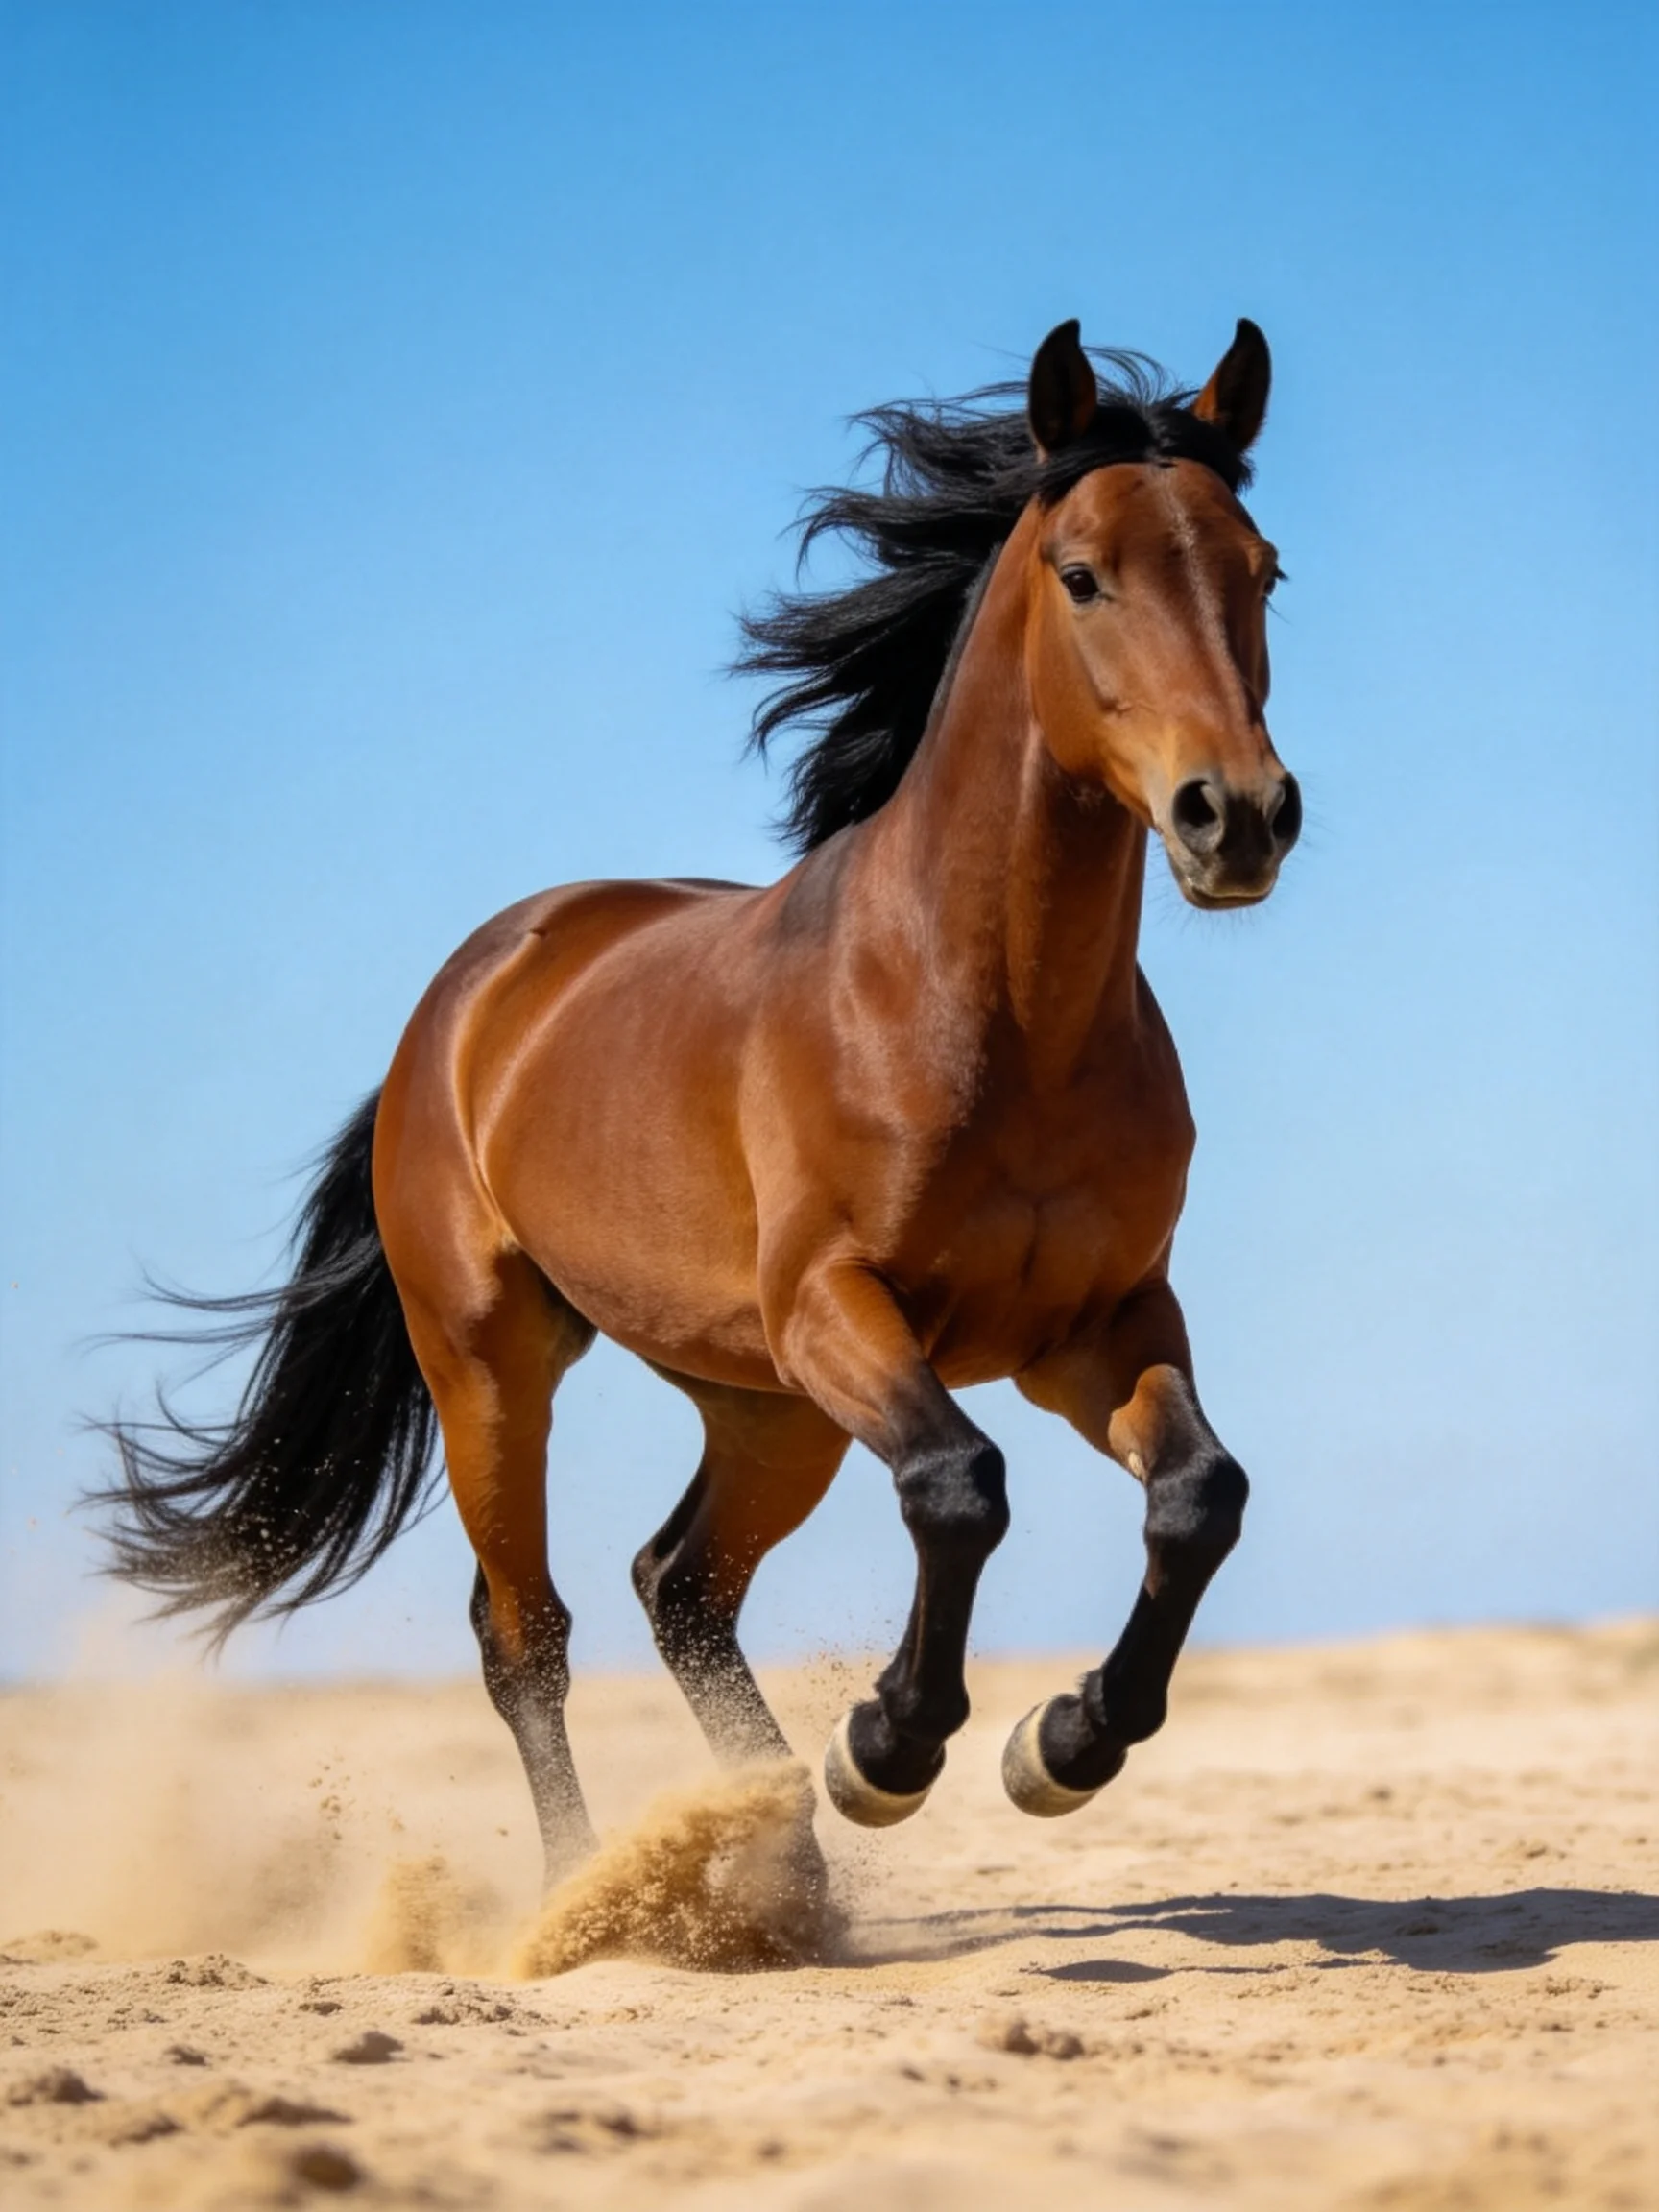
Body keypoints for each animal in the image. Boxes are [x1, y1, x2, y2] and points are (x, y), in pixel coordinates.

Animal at [98, 316, 1300, 1884]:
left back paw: (771, 1863)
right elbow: (961, 1485)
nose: (1240, 816)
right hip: (498, 1361)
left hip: (765, 1407)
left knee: (677, 1585)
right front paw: (888, 1751)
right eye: (1082, 572)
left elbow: (1200, 1498)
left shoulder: (1096, 1327)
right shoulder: (841, 1306)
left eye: (1263, 571)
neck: (994, 1021)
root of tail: (465, 999)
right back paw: (596, 1891)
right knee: (527, 1634)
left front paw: (1063, 1744)